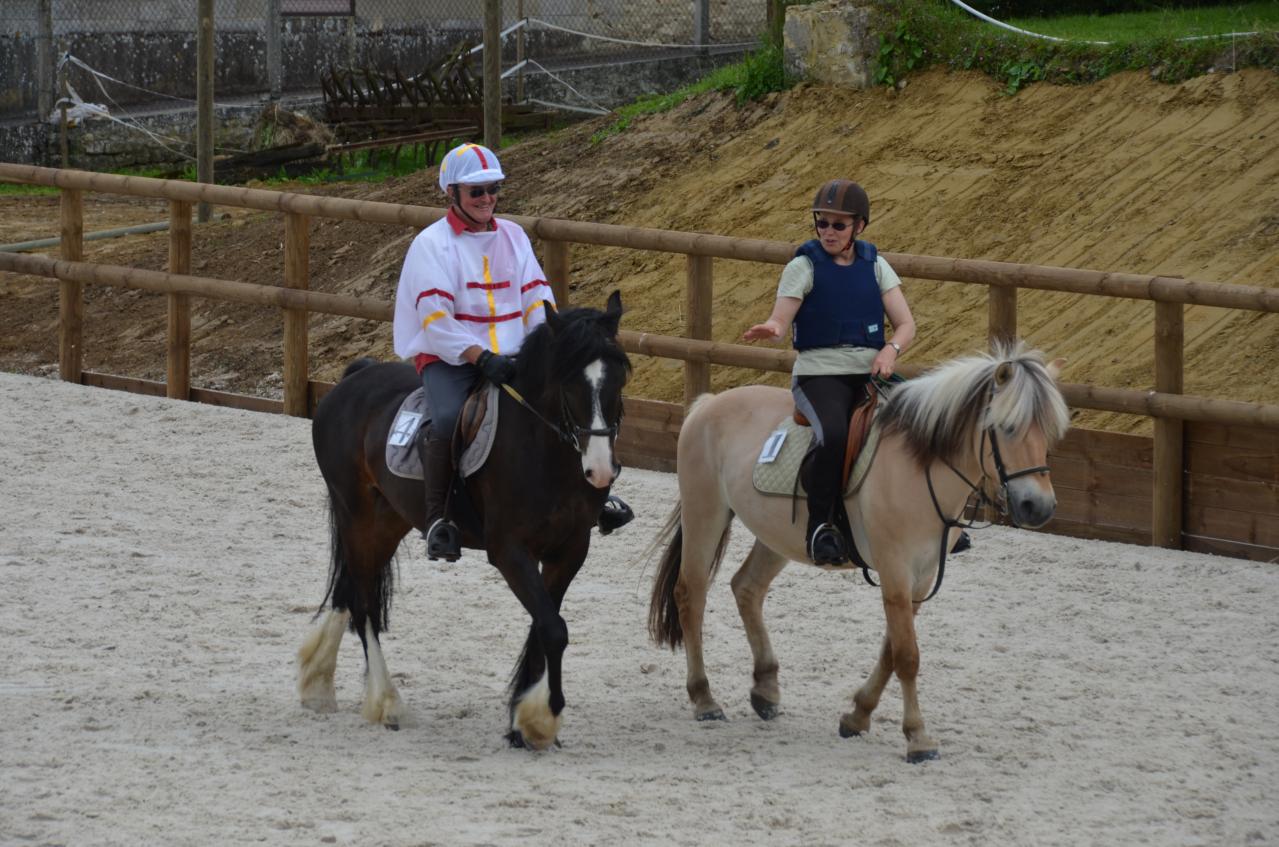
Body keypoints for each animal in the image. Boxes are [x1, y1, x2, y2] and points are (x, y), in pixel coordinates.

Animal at [299, 291, 629, 752]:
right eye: (568, 383)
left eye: (619, 380)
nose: (599, 471)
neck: (542, 452)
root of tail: (353, 378)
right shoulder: (509, 552)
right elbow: (553, 628)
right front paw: (542, 717)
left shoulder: (570, 551)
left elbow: (542, 626)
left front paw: (522, 722)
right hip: (356, 518)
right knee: (363, 604)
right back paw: (385, 702)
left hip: (387, 522)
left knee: (349, 590)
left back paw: (317, 683)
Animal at [649, 342, 1069, 767]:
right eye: (1008, 428)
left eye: (1051, 431)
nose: (1038, 507)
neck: (920, 468)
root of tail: (708, 404)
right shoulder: (895, 569)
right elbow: (907, 655)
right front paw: (917, 737)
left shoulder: (920, 577)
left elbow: (891, 650)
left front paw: (858, 716)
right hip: (706, 513)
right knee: (691, 595)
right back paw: (705, 698)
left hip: (777, 535)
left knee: (746, 588)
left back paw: (765, 690)